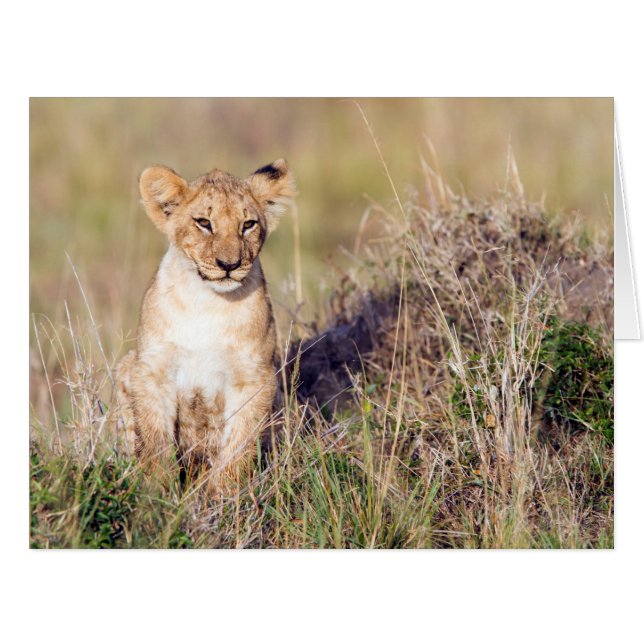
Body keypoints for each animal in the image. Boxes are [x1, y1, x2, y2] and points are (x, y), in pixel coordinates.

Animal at [115, 159, 295, 495]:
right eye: (203, 222)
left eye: (248, 224)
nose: (229, 265)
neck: (208, 303)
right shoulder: (152, 370)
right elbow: (155, 441)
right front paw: (157, 493)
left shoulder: (255, 378)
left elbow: (238, 445)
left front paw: (224, 497)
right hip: (125, 365)